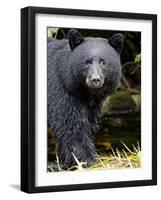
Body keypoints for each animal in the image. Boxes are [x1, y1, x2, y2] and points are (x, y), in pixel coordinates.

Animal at [47, 28, 123, 168]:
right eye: (87, 62)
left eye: (103, 62)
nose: (95, 80)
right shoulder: (61, 92)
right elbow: (71, 127)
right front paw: (91, 161)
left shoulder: (89, 106)